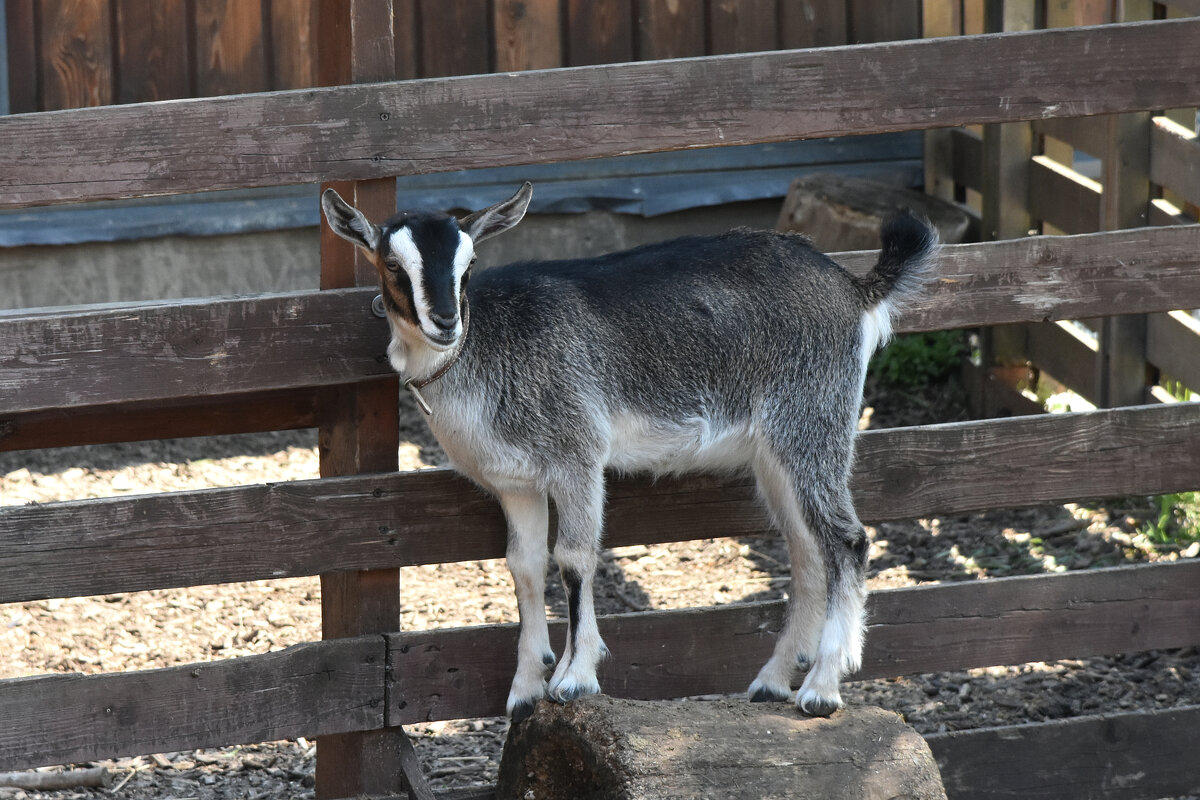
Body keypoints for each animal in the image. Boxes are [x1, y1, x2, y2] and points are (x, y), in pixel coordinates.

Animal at [324, 184, 940, 724]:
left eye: (468, 266)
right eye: (392, 266)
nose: (446, 322)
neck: (488, 350)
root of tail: (855, 289)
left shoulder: (577, 453)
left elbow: (573, 559)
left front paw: (574, 678)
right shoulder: (515, 482)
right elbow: (524, 566)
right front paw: (525, 689)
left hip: (812, 417)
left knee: (848, 540)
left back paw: (821, 689)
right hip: (775, 454)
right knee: (809, 551)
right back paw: (771, 681)